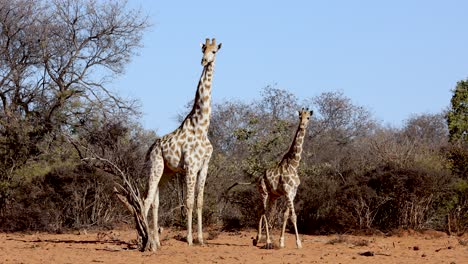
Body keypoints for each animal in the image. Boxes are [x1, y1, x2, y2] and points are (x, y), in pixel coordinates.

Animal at [144, 37, 222, 248]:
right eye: (203, 49)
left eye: (214, 51)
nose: (204, 61)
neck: (202, 127)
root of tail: (151, 147)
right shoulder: (190, 167)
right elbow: (188, 203)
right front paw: (189, 239)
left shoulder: (204, 166)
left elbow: (199, 202)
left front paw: (201, 239)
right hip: (156, 165)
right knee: (146, 200)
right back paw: (145, 242)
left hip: (166, 172)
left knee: (155, 202)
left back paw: (156, 242)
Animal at [254, 107, 312, 250]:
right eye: (300, 117)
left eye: (308, 117)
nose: (302, 125)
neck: (294, 164)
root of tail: (259, 178)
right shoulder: (287, 191)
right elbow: (294, 216)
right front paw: (298, 243)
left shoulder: (293, 192)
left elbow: (286, 215)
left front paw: (281, 241)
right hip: (263, 192)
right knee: (263, 212)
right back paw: (267, 241)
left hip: (273, 196)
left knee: (265, 213)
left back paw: (258, 239)